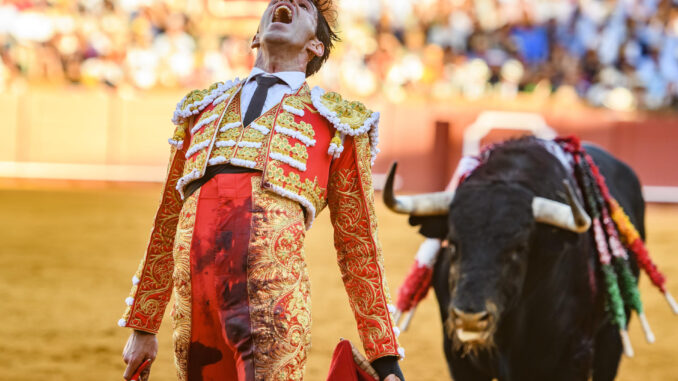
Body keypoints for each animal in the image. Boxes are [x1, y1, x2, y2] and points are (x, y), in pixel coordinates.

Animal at [386, 140, 644, 380]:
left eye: (519, 248)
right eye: (453, 243)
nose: (470, 319)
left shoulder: (574, 358)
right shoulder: (457, 358)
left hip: (613, 336)